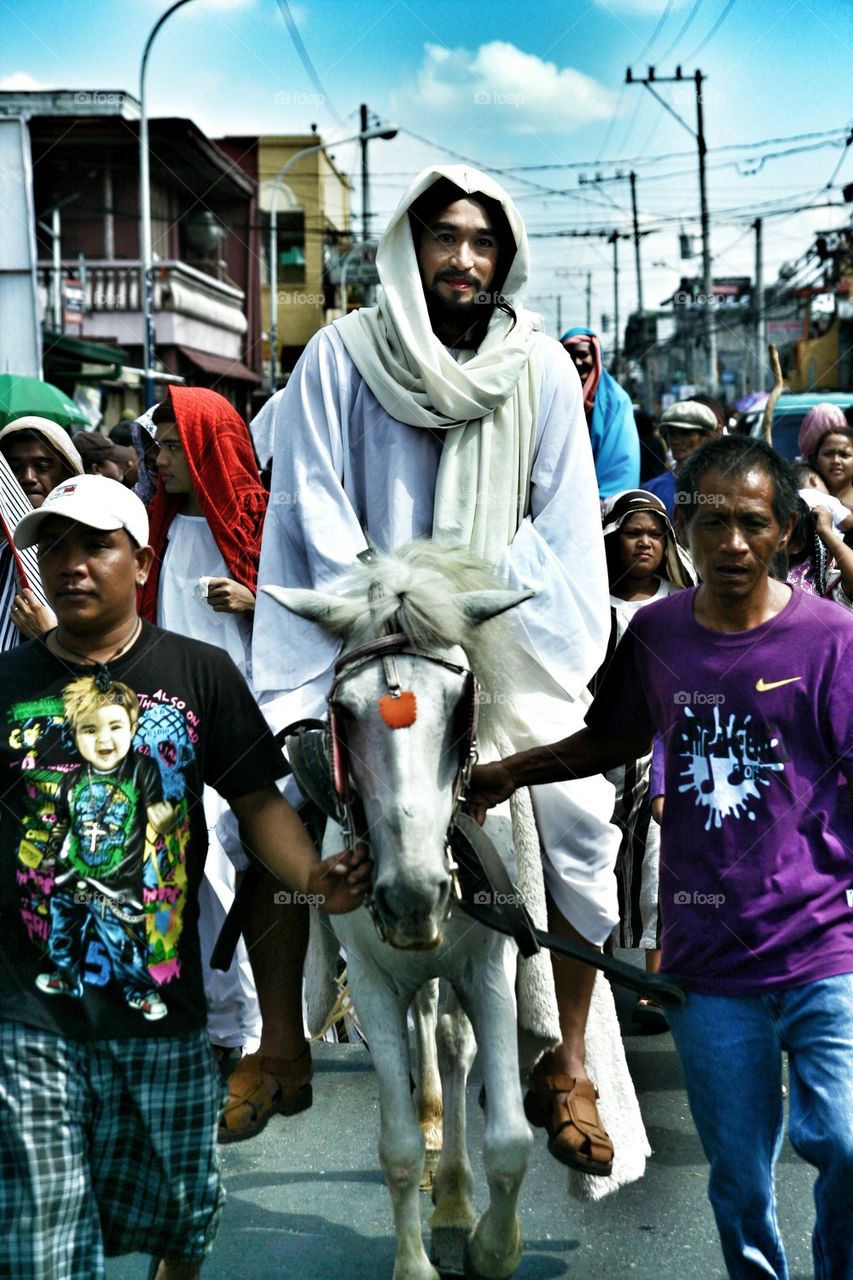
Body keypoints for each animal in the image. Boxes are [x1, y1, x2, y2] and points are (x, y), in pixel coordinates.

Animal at [262, 545, 535, 1280]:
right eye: (343, 711)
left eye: (460, 705)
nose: (413, 895)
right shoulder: (374, 982)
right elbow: (398, 1148)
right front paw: (415, 1261)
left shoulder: (488, 965)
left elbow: (509, 1139)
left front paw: (492, 1246)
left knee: (453, 1045)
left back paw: (455, 1193)